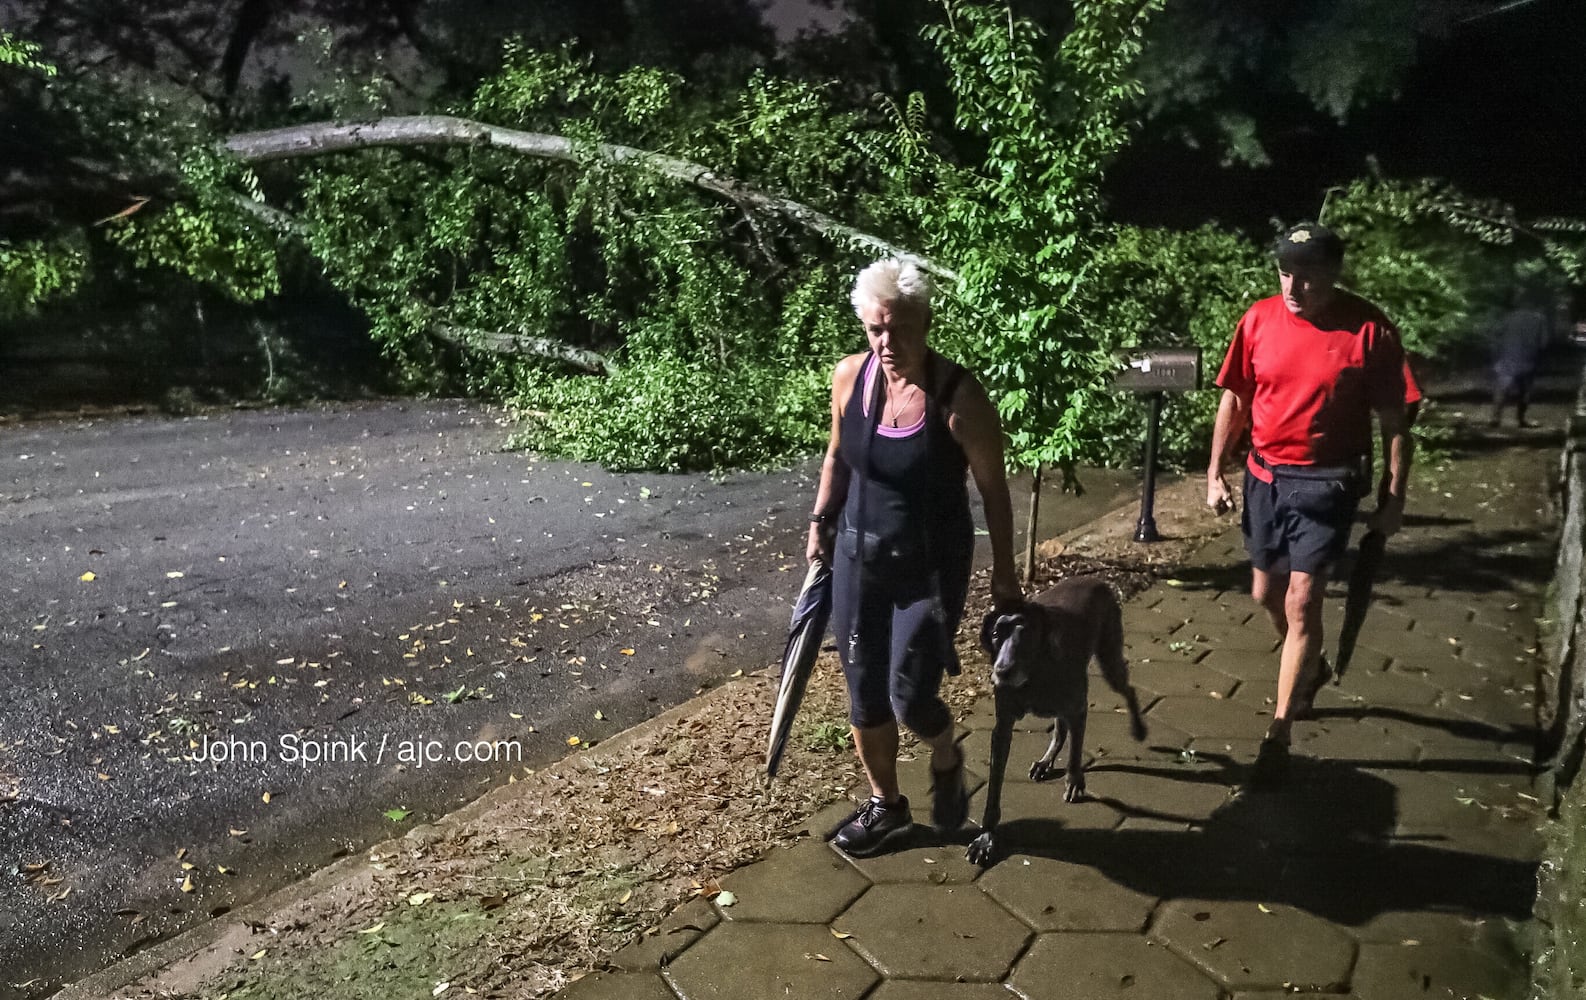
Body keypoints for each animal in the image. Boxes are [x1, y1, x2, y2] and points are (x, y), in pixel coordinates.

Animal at [970, 580, 1148, 868]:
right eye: (997, 633)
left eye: (1027, 634)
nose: (1002, 671)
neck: (1034, 674)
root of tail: (1097, 581)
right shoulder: (1003, 727)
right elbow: (994, 789)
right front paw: (986, 838)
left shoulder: (1077, 708)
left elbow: (1075, 753)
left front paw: (1074, 782)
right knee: (1060, 730)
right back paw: (1045, 762)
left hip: (1110, 658)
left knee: (1127, 689)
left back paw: (1139, 729)